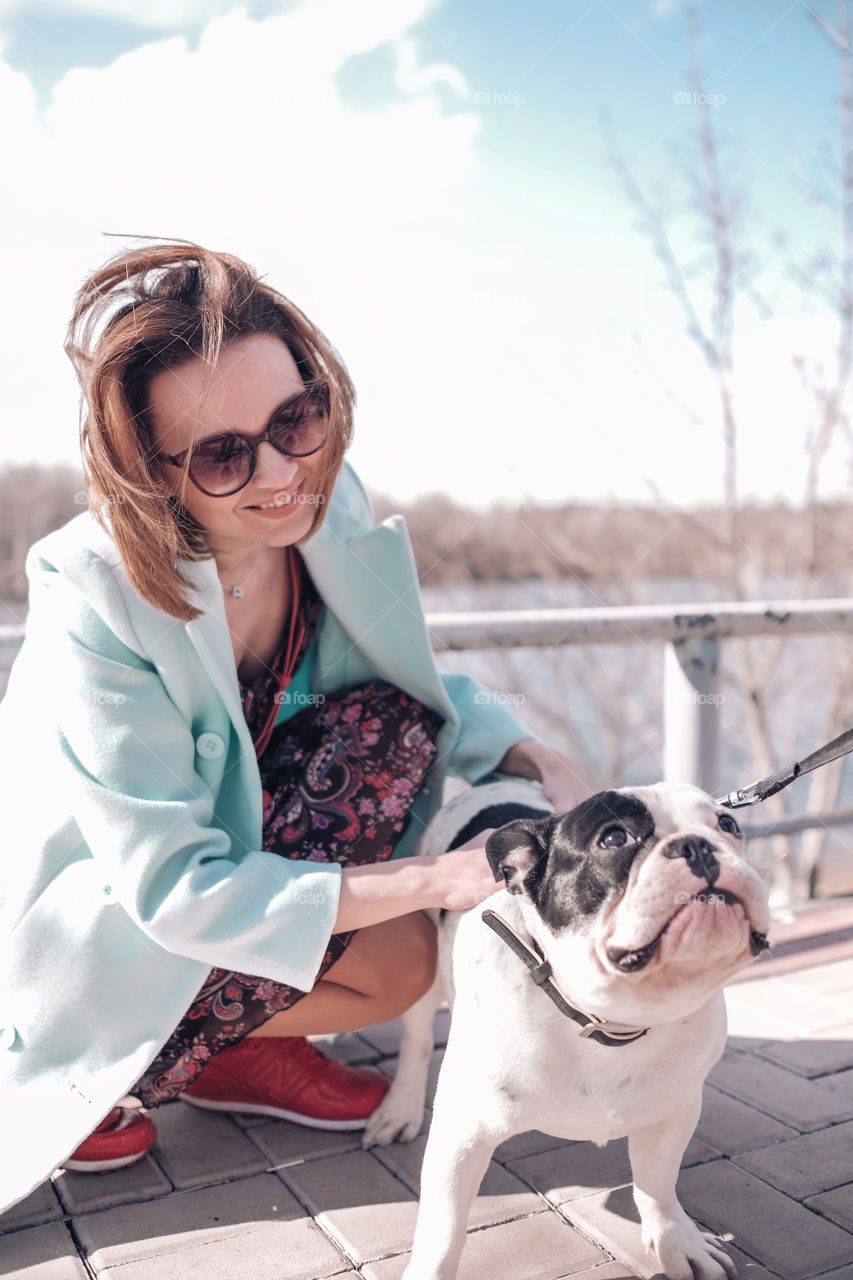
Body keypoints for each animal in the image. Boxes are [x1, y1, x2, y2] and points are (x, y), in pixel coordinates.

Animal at [361, 778, 768, 1280]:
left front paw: (679, 1246)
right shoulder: (462, 1133)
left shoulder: (674, 1108)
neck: (608, 1017)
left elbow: (658, 1184)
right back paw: (399, 1110)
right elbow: (445, 1229)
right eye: (614, 838)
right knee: (416, 1039)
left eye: (728, 824)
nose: (696, 844)